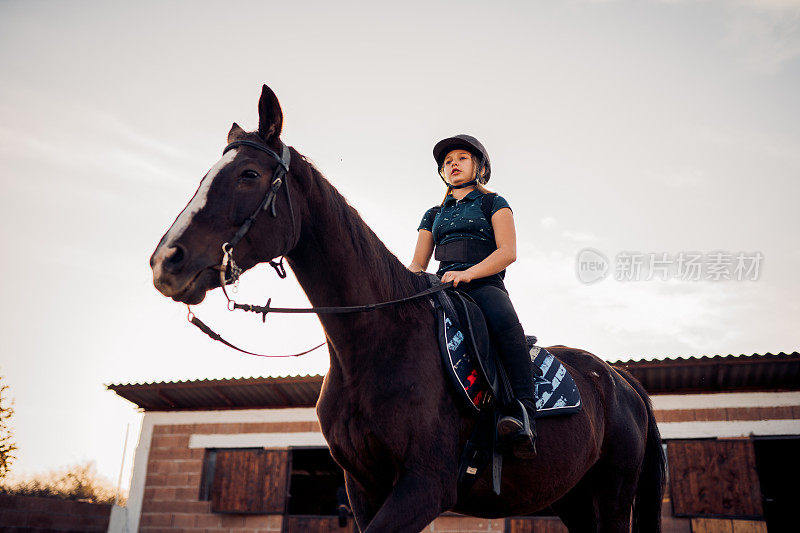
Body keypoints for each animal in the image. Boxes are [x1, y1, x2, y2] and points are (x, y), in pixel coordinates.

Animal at [148, 85, 664, 528]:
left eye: (249, 175)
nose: (166, 261)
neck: (377, 342)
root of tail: (623, 383)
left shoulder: (425, 485)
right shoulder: (363, 487)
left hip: (612, 496)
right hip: (573, 500)